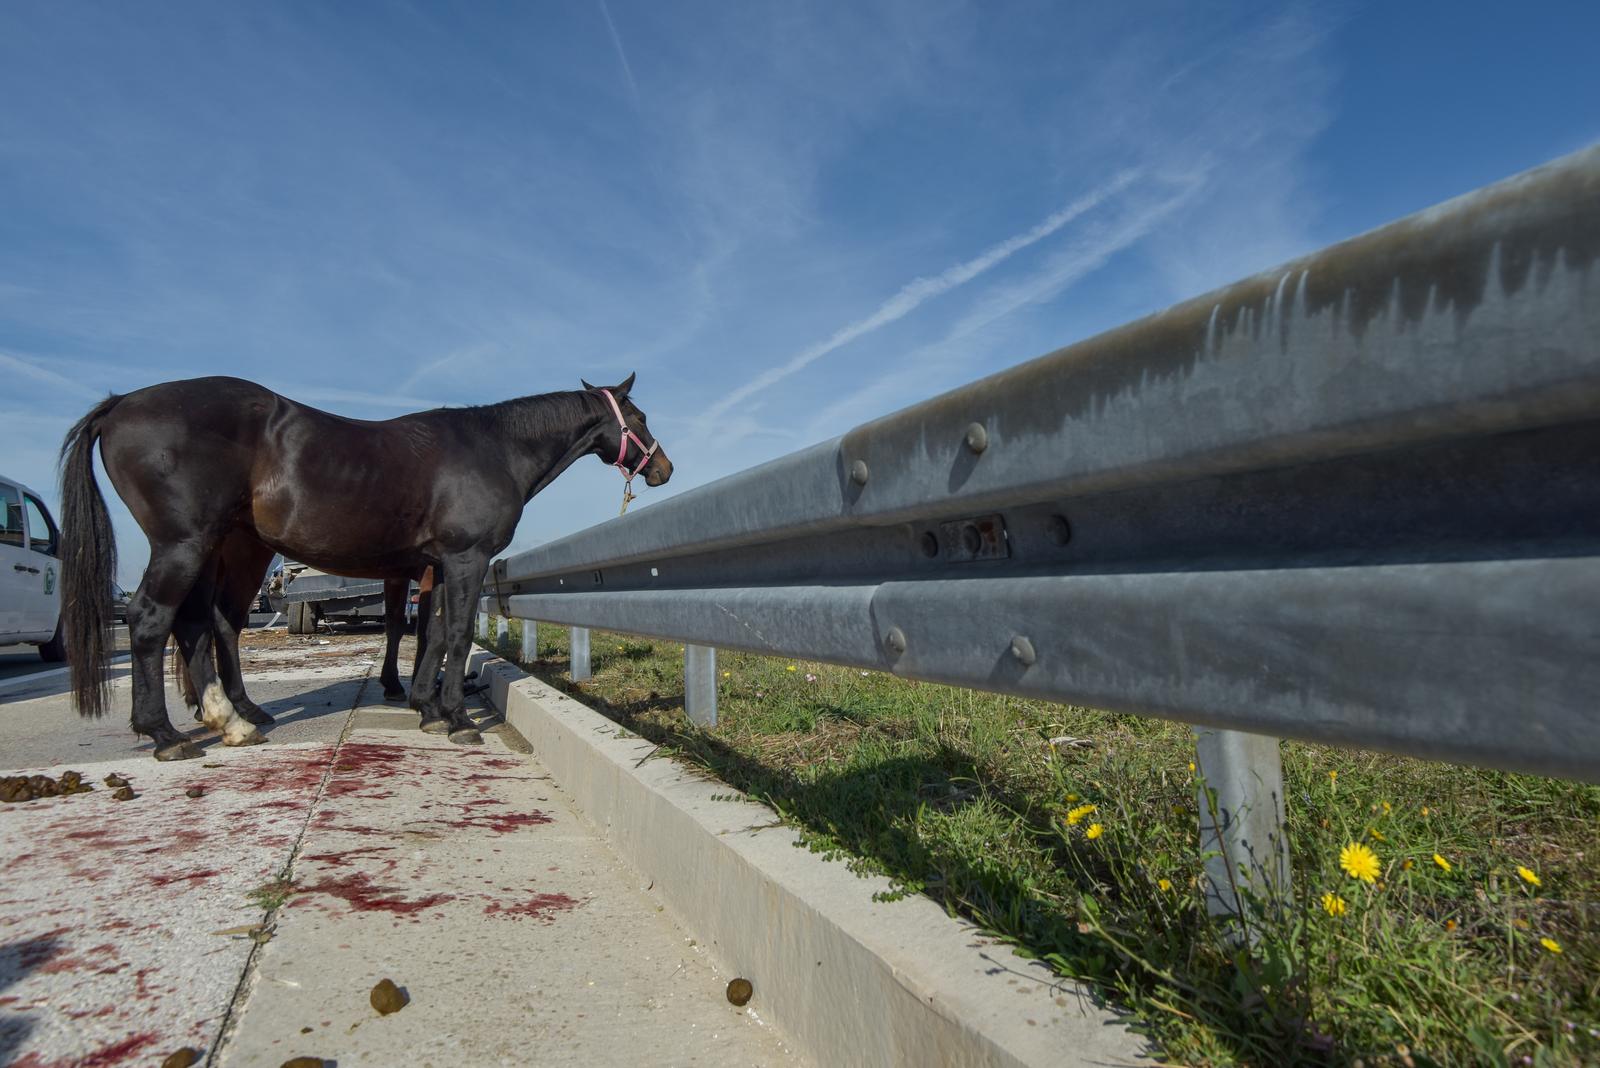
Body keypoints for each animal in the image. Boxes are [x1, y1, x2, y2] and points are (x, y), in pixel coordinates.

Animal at [58, 375, 668, 757]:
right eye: (638, 415)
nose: (662, 467)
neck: (493, 448)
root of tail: (121, 404)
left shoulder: (436, 566)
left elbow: (432, 632)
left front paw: (427, 708)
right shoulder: (465, 559)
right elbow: (456, 633)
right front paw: (457, 719)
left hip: (215, 551)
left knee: (202, 624)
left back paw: (234, 718)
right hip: (185, 545)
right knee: (152, 620)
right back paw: (167, 734)